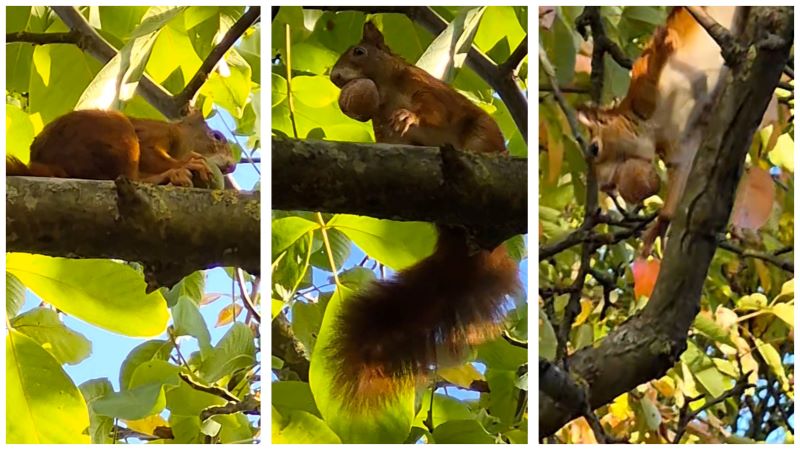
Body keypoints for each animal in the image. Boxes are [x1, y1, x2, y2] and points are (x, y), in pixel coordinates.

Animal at [7, 108, 236, 187]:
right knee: (130, 177)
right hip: (117, 132)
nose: (233, 166)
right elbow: (150, 152)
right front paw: (188, 163)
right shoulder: (154, 133)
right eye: (217, 136)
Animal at [328, 21, 520, 410]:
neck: (386, 92)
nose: (335, 77)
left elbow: (431, 111)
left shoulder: (429, 92)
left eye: (359, 52)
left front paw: (409, 117)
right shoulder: (382, 126)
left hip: (480, 135)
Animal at [577, 7, 743, 255]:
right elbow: (682, 170)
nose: (606, 186)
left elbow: (668, 46)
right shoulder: (679, 144)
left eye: (595, 148)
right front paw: (660, 225)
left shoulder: (650, 83)